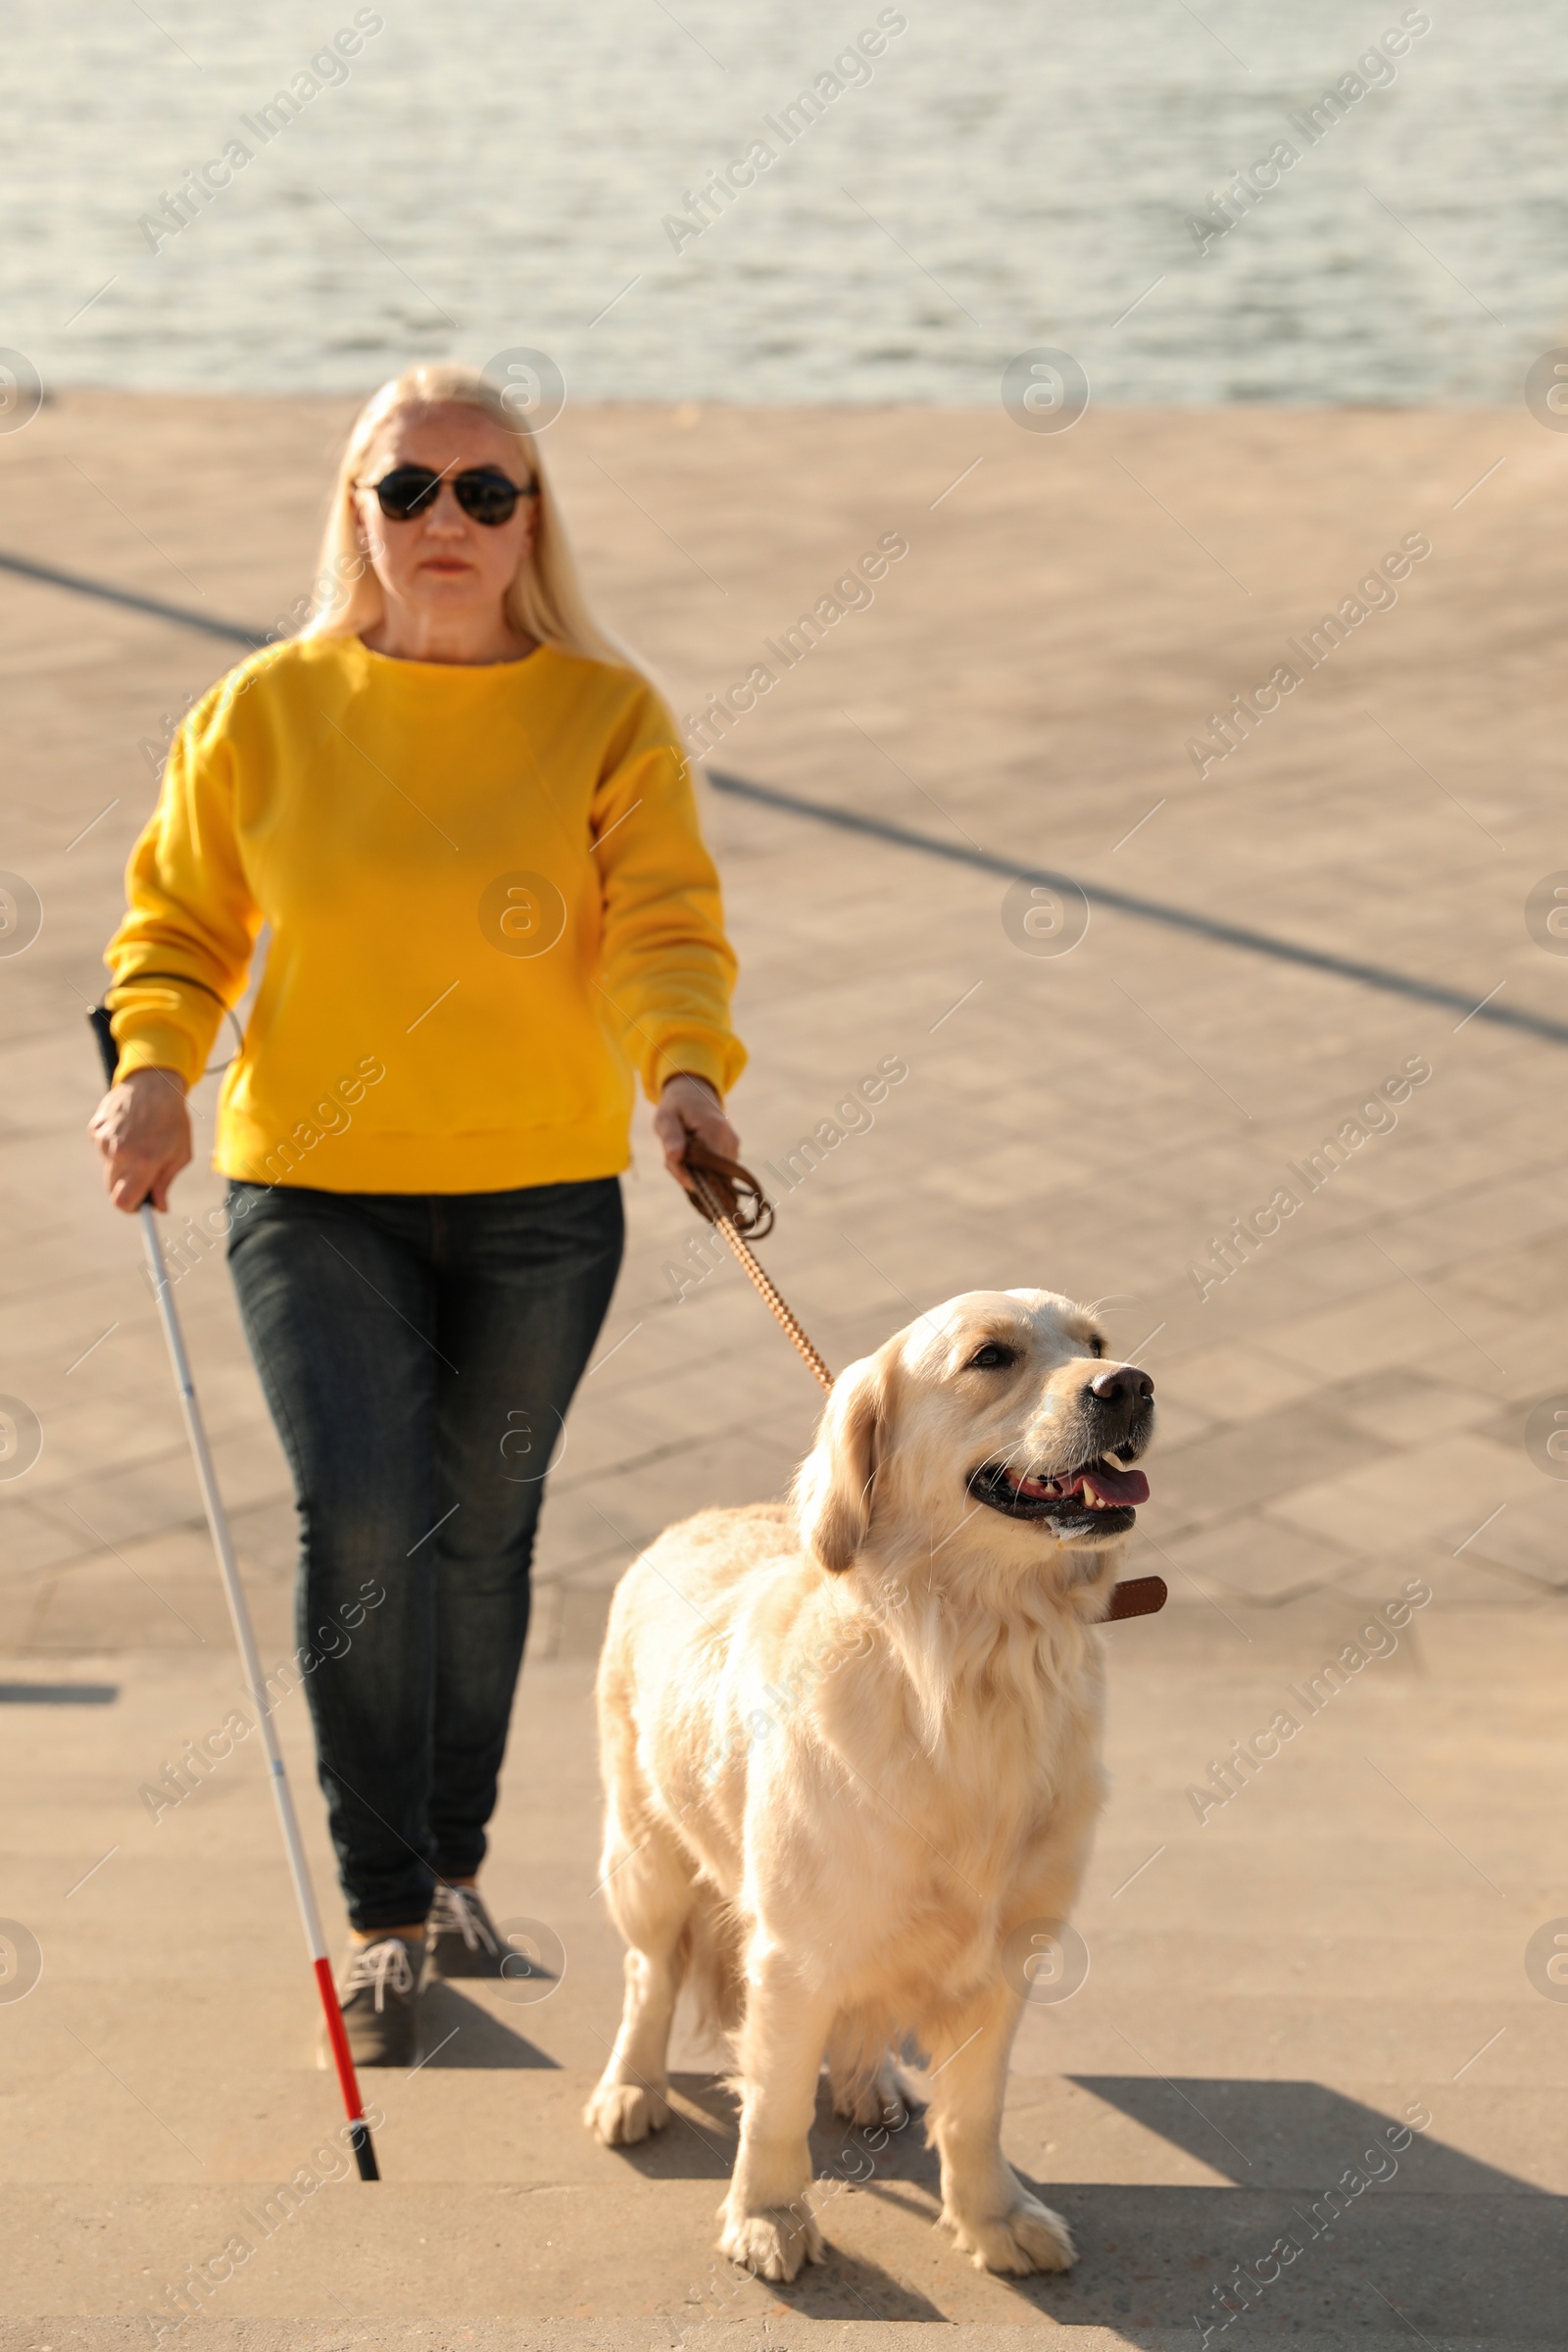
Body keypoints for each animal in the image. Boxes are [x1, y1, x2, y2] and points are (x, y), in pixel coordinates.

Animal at [585, 1289, 1152, 2277]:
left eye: (1095, 1343)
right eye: (991, 1356)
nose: (1131, 1385)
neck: (974, 1661)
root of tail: (691, 1520)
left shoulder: (1008, 1953)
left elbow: (976, 2112)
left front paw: (994, 2217)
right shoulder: (792, 1950)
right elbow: (774, 2103)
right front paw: (768, 2217)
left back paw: (865, 2079)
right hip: (645, 1852)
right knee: (647, 1971)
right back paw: (633, 2086)